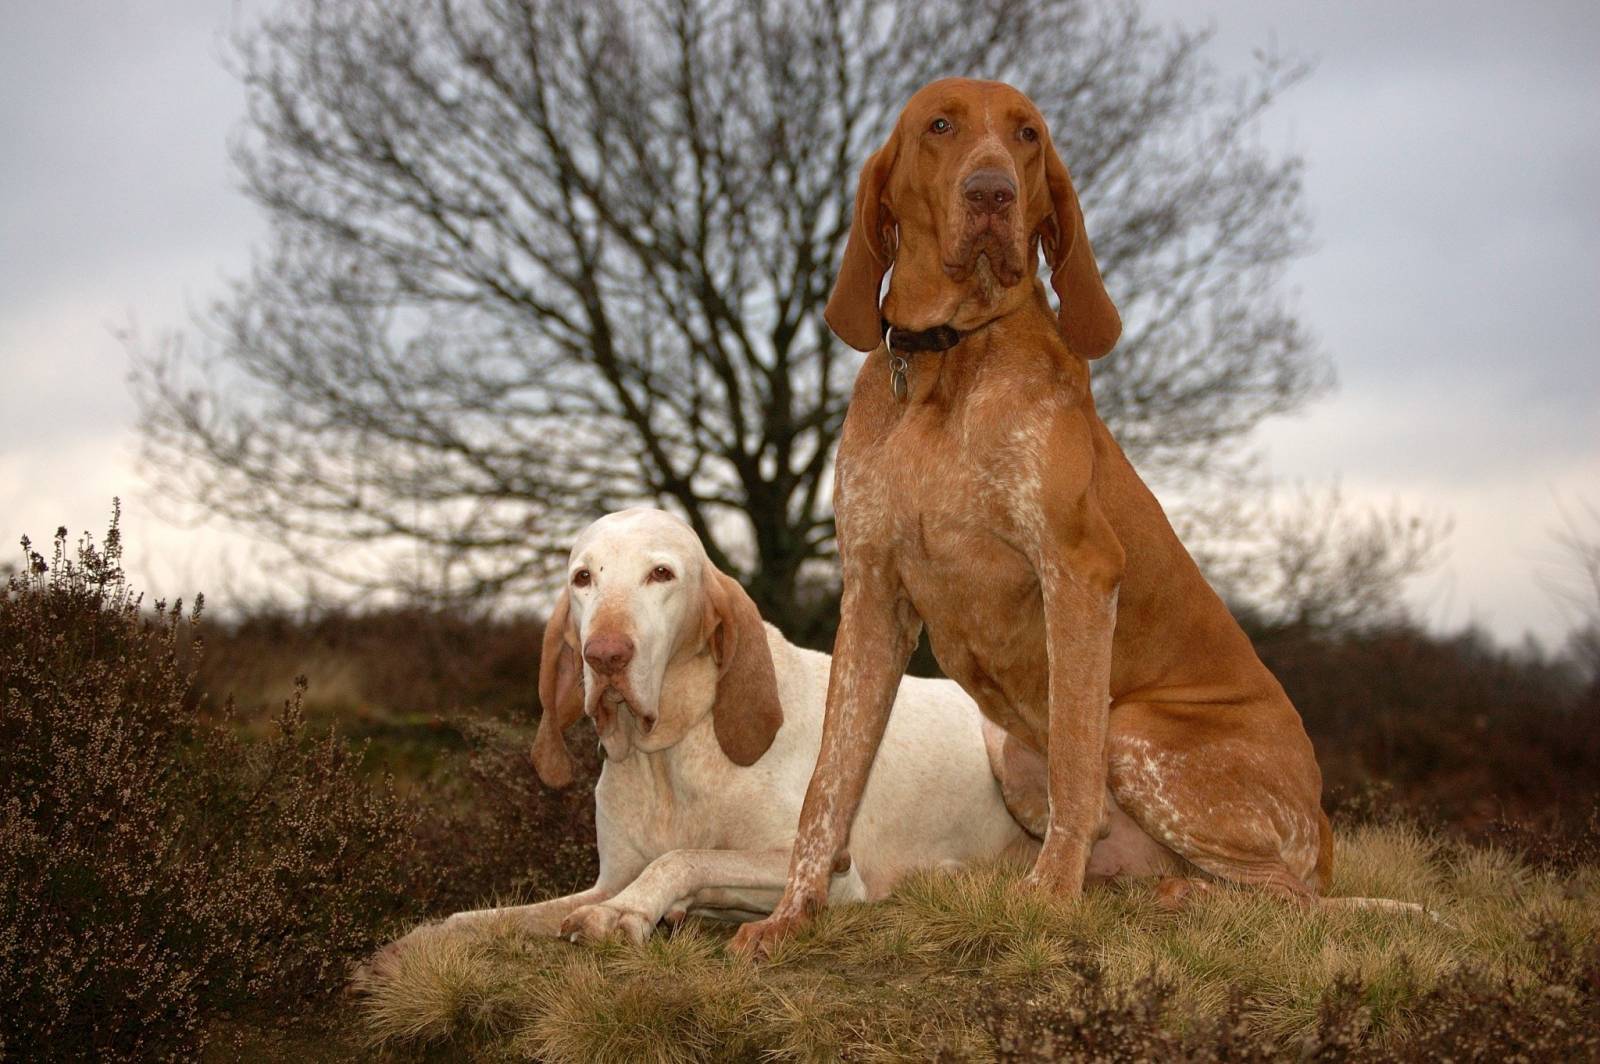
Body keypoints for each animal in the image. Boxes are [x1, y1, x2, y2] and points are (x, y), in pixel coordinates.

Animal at [438, 505, 1036, 940]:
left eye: (661, 574)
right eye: (583, 578)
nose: (604, 655)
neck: (668, 756)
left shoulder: (832, 874)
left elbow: (684, 859)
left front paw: (634, 911)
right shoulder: (608, 878)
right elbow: (477, 920)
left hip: (1006, 749)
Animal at [732, 74, 1408, 953]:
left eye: (1028, 135)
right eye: (940, 126)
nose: (993, 193)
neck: (951, 356)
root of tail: (1323, 828)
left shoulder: (1077, 571)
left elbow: (1076, 768)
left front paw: (1049, 898)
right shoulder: (873, 594)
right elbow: (830, 781)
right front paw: (790, 913)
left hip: (1144, 733)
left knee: (1289, 898)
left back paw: (1181, 898)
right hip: (1012, 751)